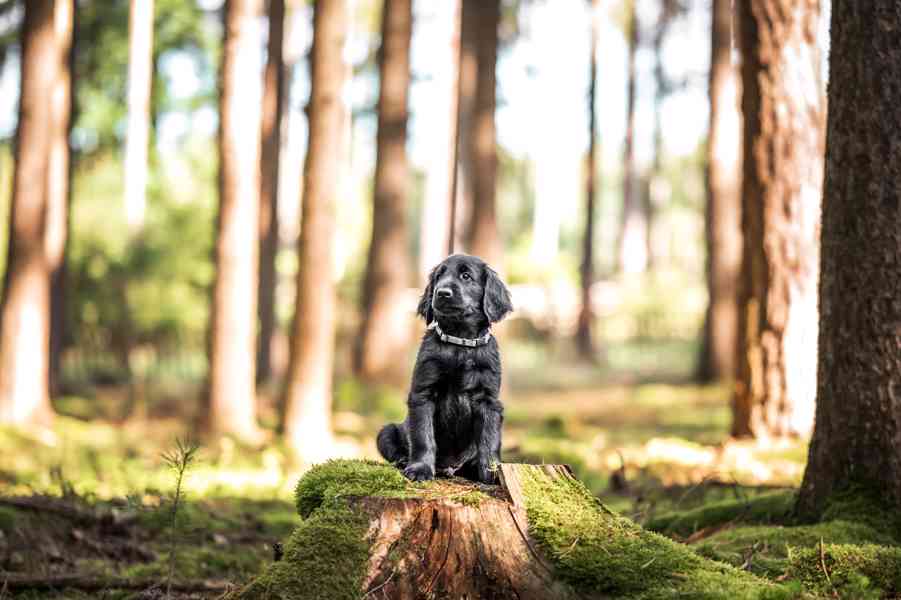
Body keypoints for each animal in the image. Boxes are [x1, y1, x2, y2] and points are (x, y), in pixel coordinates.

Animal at [374, 253, 512, 482]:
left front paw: (490, 473)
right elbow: (423, 437)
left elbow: (489, 439)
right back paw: (404, 461)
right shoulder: (423, 393)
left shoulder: (489, 400)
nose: (442, 292)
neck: (460, 343)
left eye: (466, 276)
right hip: (387, 431)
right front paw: (420, 468)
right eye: (439, 276)